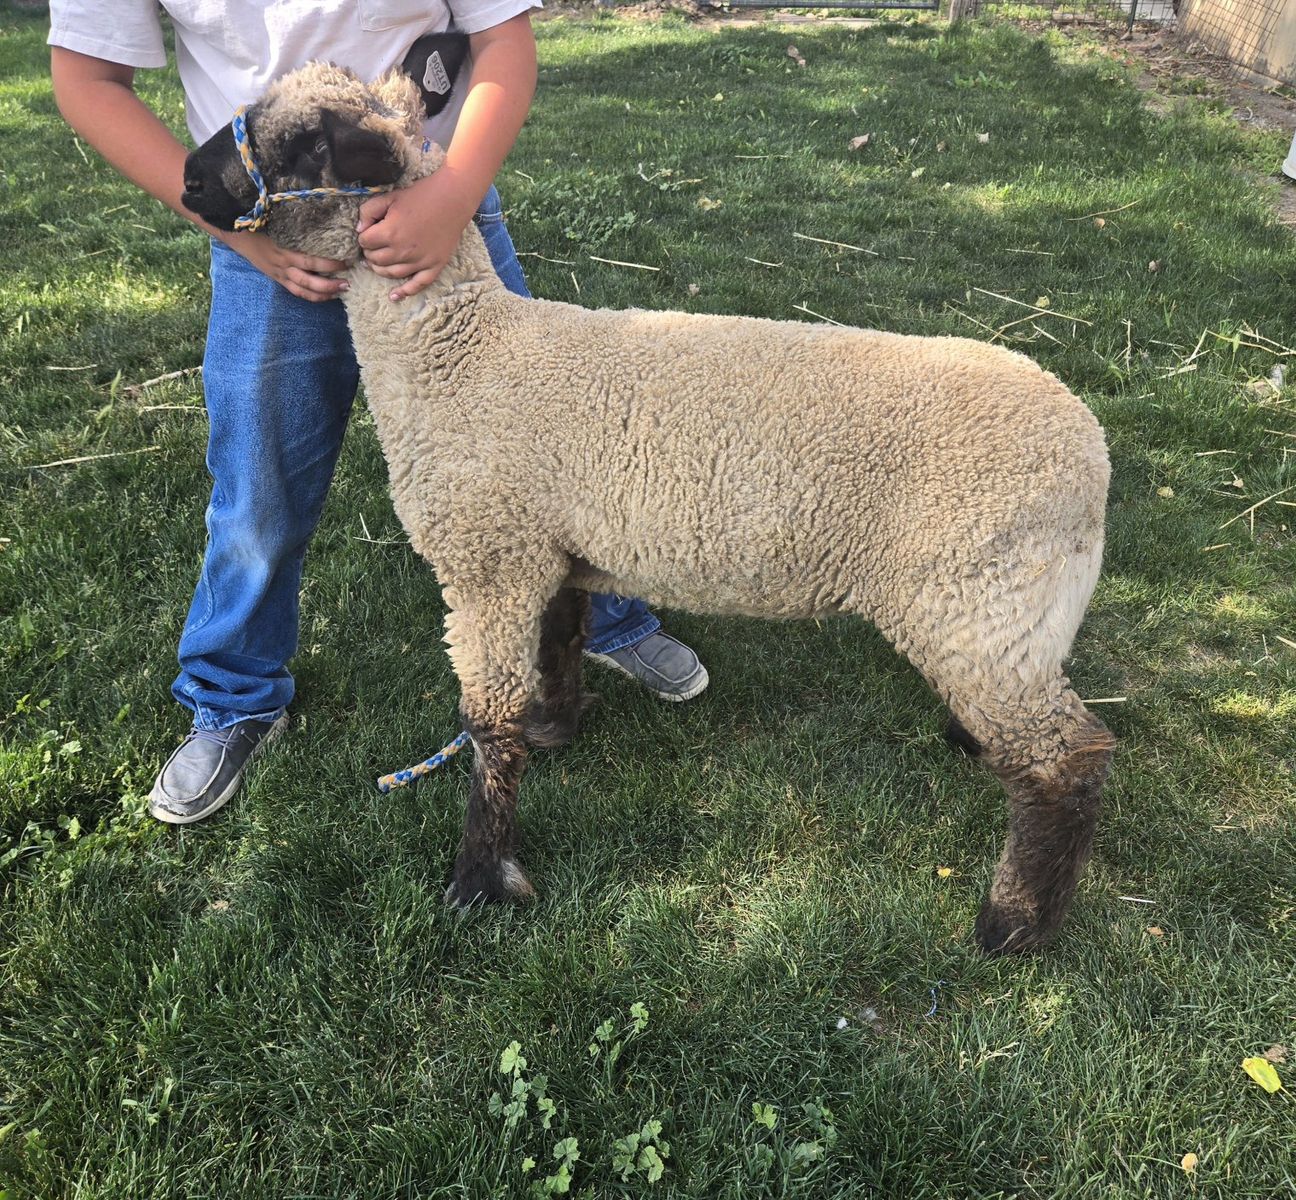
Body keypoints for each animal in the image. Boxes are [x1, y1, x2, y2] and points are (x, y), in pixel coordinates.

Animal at [181, 62, 1116, 954]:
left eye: (298, 144)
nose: (188, 180)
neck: (461, 354)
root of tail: (1092, 459)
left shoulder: (490, 564)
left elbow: (484, 725)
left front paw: (481, 878)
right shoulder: (551, 550)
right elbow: (558, 646)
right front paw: (554, 730)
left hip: (973, 595)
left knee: (1067, 760)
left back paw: (1014, 925)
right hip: (1003, 615)